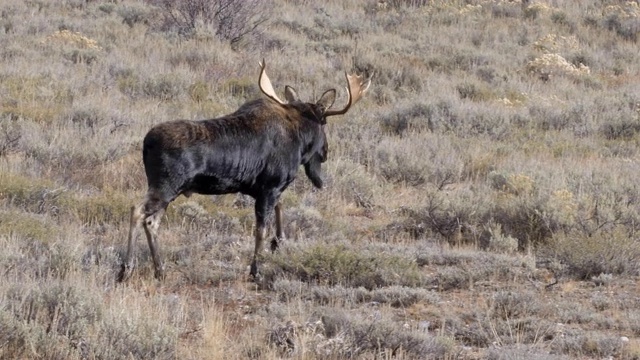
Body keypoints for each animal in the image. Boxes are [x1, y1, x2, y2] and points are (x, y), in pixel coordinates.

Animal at [119, 60, 370, 282]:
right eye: (323, 123)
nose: (326, 151)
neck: (298, 139)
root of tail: (146, 142)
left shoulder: (266, 189)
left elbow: (279, 210)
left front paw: (279, 241)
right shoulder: (270, 188)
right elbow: (261, 229)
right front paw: (256, 270)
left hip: (170, 191)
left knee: (152, 222)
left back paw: (160, 271)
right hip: (165, 187)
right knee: (137, 212)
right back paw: (126, 269)